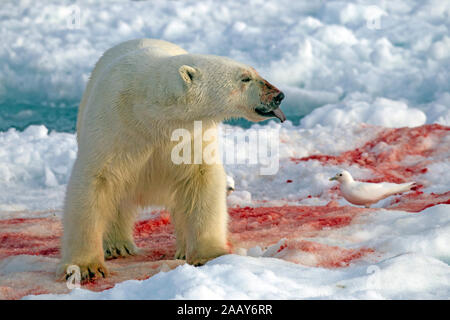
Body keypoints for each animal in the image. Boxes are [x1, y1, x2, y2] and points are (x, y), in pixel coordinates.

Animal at [59, 39, 284, 280]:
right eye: (245, 78)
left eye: (254, 72)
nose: (278, 95)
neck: (150, 112)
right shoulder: (113, 128)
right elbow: (95, 183)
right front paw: (86, 268)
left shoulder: (191, 136)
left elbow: (201, 182)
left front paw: (210, 255)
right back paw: (118, 246)